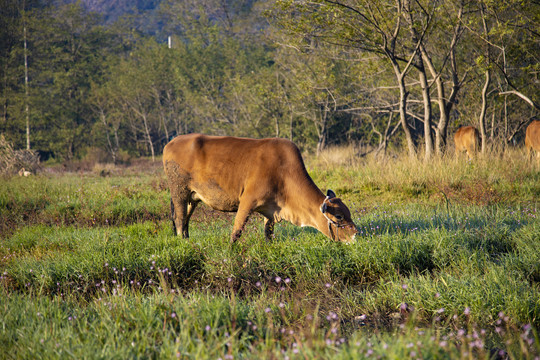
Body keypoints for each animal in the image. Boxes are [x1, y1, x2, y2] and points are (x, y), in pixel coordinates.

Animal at [162, 134, 360, 243]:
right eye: (339, 217)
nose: (356, 234)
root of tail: (171, 142)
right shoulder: (247, 201)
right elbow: (236, 232)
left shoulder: (271, 210)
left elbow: (268, 234)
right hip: (179, 192)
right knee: (179, 220)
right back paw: (182, 242)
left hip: (192, 197)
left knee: (185, 221)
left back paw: (187, 240)